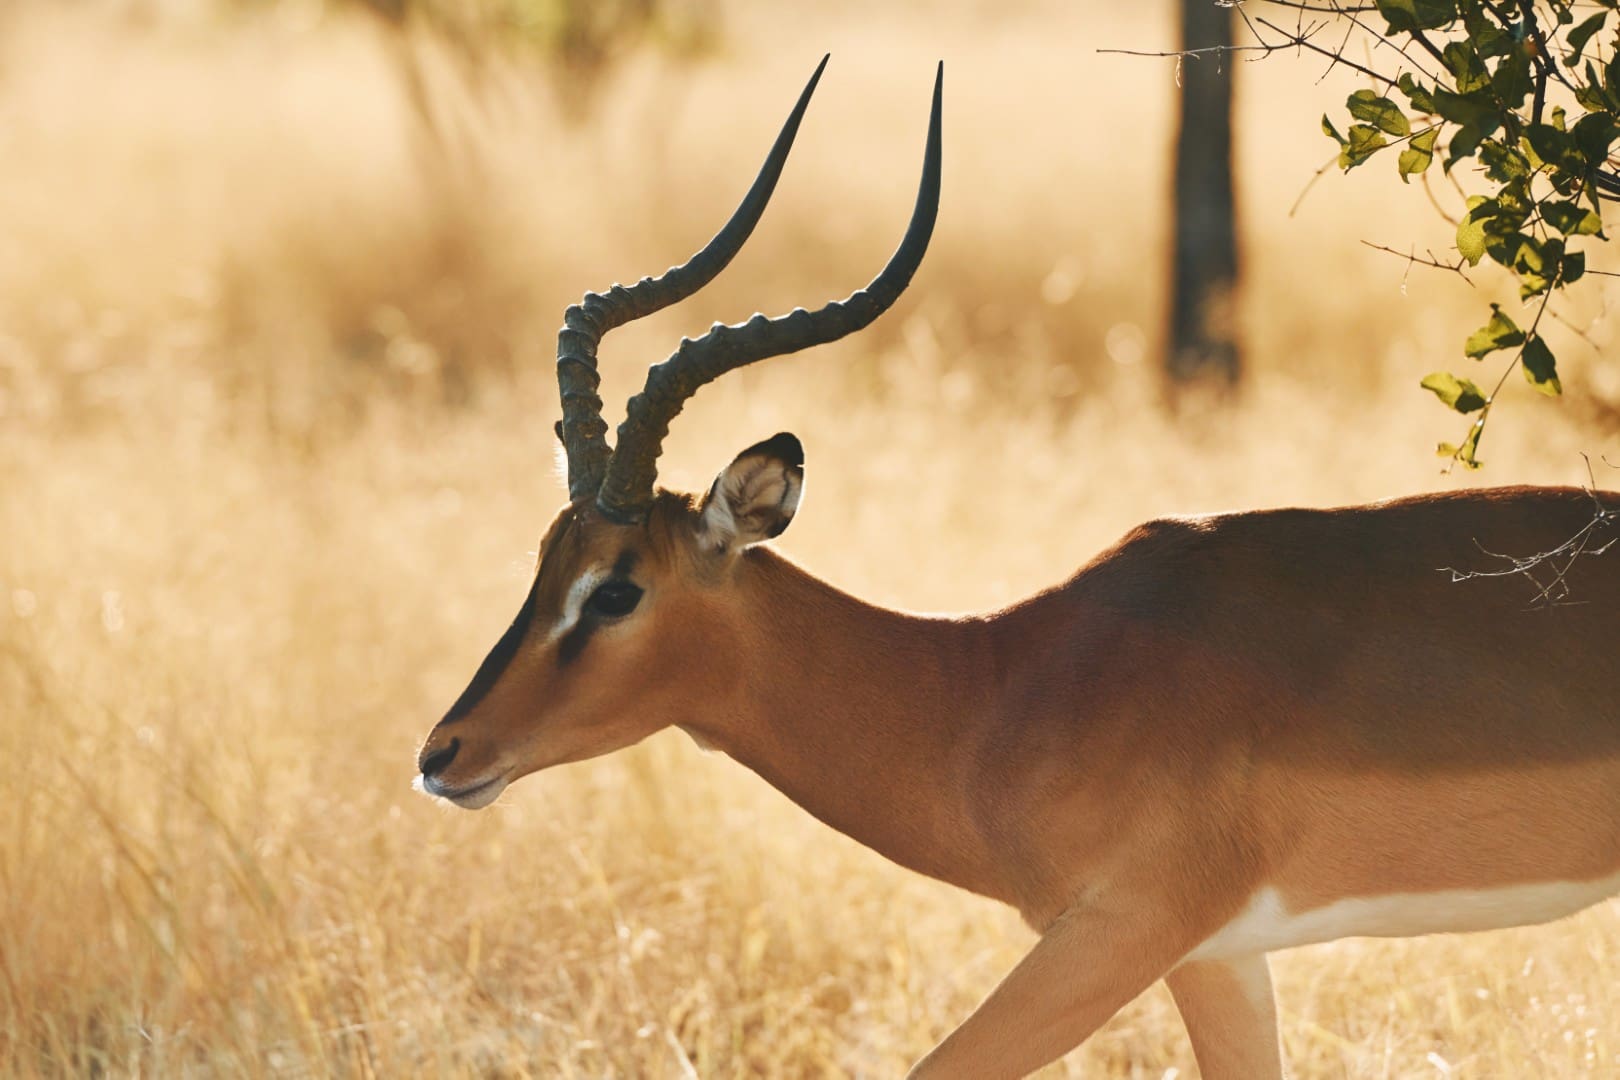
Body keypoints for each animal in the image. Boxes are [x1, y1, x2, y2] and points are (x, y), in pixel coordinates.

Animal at [414, 57, 1620, 1078]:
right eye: (544, 557)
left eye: (617, 588)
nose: (443, 753)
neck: (993, 696)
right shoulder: (1219, 955)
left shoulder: (1122, 934)